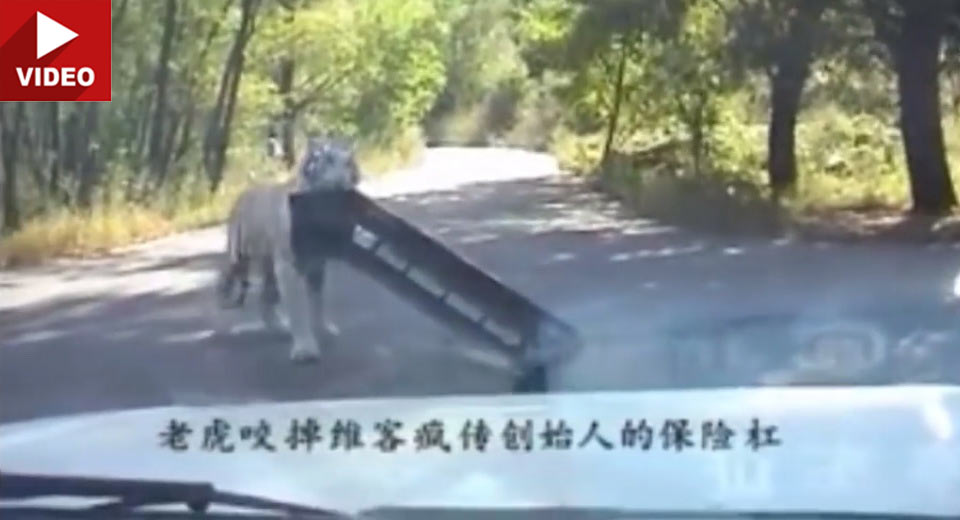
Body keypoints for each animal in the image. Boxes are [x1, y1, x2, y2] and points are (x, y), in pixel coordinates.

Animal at [213, 137, 360, 362]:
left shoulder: (317, 264)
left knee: (264, 300)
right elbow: (298, 307)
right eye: (327, 160)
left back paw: (281, 329)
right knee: (225, 278)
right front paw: (305, 349)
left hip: (269, 269)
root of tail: (243, 194)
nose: (344, 180)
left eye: (349, 163)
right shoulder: (288, 266)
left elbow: (318, 301)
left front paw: (323, 330)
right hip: (240, 257)